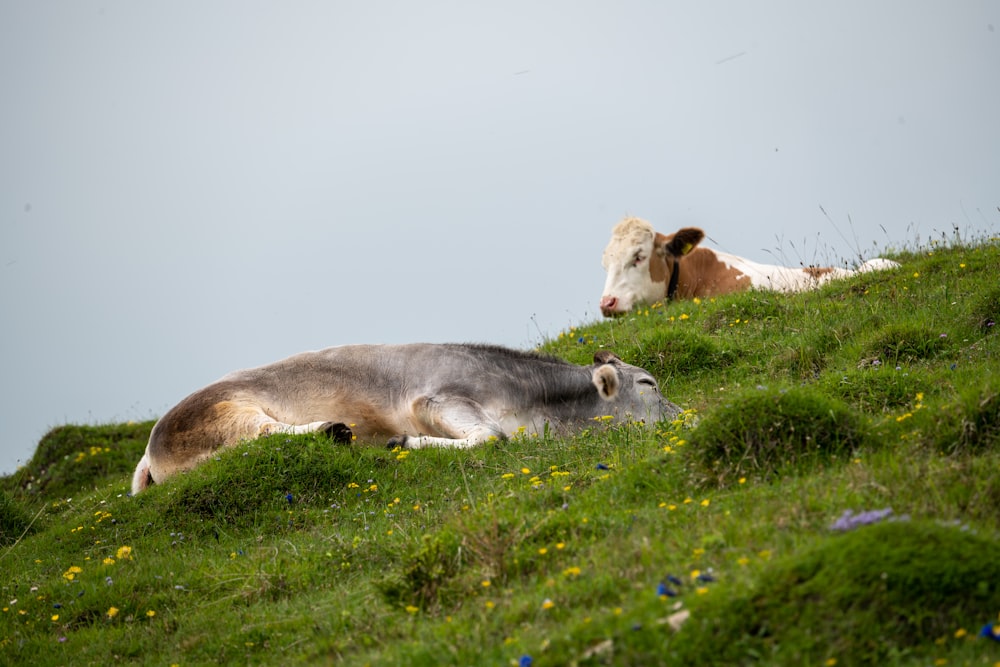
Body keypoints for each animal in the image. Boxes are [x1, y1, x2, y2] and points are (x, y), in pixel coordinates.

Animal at [131, 344, 680, 496]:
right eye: (649, 384)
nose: (682, 413)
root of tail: (150, 447)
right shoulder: (434, 399)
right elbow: (490, 438)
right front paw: (406, 444)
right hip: (224, 411)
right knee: (265, 437)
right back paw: (335, 431)